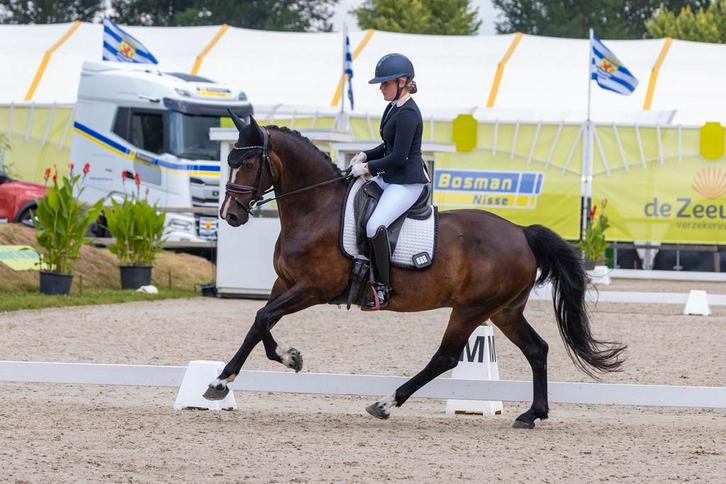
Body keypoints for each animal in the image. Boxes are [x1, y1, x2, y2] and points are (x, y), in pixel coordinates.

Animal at [205, 113, 626, 429]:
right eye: (230, 161)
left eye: (247, 163)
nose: (230, 215)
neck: (316, 208)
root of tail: (522, 232)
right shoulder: (286, 283)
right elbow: (261, 324)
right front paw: (252, 370)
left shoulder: (314, 288)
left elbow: (262, 318)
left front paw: (238, 375)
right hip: (505, 310)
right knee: (537, 349)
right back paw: (532, 414)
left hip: (472, 308)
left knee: (446, 357)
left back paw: (386, 403)